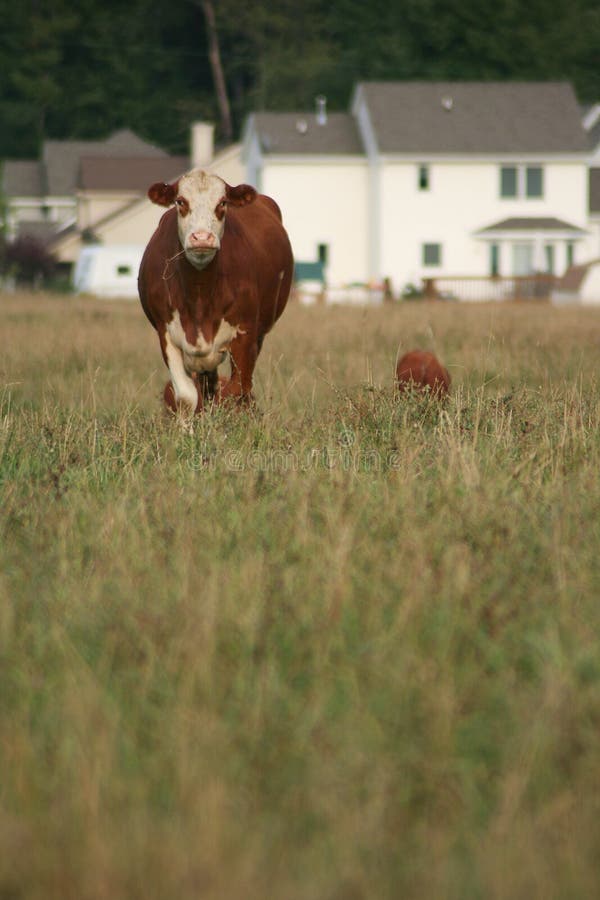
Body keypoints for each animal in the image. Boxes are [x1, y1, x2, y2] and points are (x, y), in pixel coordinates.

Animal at [137, 168, 296, 412]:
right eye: (180, 201)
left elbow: (236, 390)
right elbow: (186, 397)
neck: (199, 292)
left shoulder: (245, 333)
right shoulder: (166, 334)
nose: (202, 237)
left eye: (222, 203)